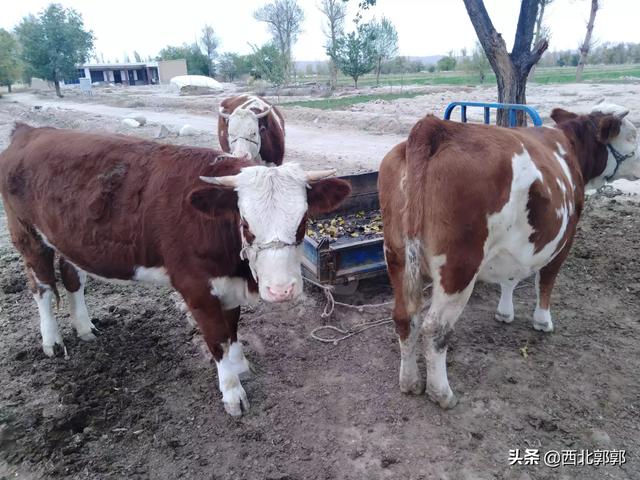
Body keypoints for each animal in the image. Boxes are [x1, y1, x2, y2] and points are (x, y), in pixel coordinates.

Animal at [0, 124, 351, 416]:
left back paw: (85, 328)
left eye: (302, 222)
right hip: (27, 235)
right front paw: (232, 392)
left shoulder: (226, 285)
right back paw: (53, 341)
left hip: (67, 240)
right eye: (246, 224)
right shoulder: (195, 288)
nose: (282, 291)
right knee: (42, 287)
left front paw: (240, 366)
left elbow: (233, 327)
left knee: (74, 277)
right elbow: (218, 338)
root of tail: (29, 131)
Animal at [379, 103, 638, 409]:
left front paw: (505, 312)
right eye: (632, 136)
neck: (569, 147)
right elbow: (546, 281)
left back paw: (410, 382)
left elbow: (510, 279)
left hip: (396, 255)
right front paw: (543, 321)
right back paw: (441, 393)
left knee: (404, 317)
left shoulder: (514, 246)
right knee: (435, 329)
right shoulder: (565, 238)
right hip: (459, 267)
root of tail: (436, 128)